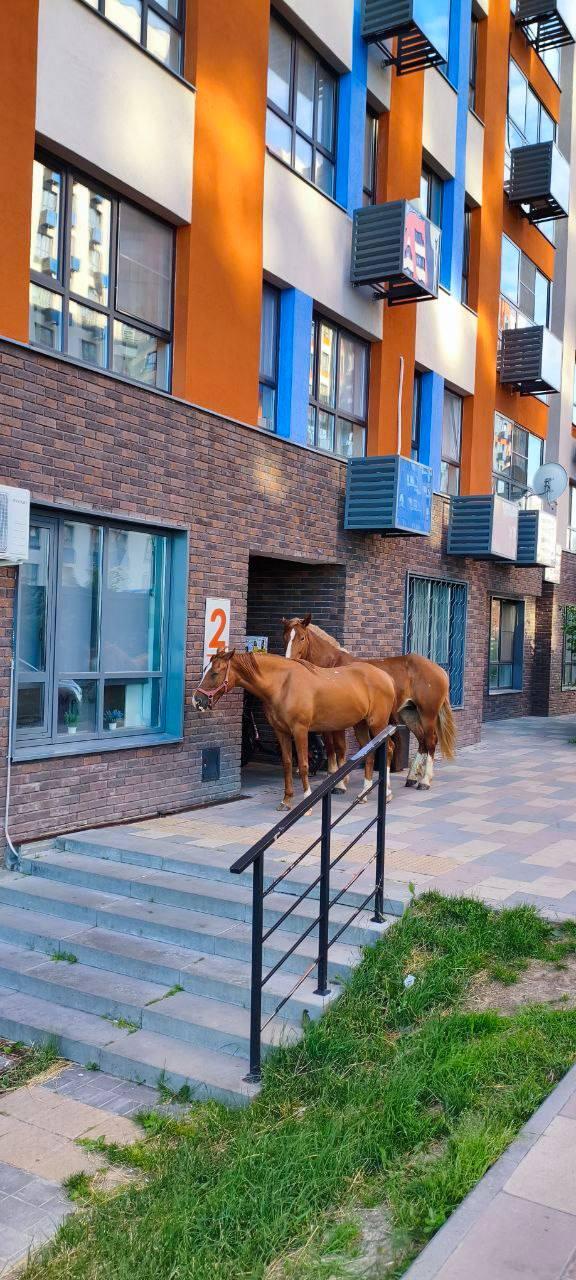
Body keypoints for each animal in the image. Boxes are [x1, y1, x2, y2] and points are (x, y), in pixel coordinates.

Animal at [192, 650, 396, 811]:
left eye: (214, 673)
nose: (197, 700)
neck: (283, 684)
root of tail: (386, 677)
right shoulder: (281, 732)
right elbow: (288, 763)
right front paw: (286, 800)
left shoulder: (300, 731)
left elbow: (304, 764)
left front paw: (306, 801)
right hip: (361, 725)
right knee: (369, 754)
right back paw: (363, 794)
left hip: (377, 724)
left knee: (389, 750)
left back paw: (386, 793)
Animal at [282, 615, 456, 790]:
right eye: (285, 637)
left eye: (302, 637)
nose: (289, 662)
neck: (331, 668)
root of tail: (439, 669)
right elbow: (331, 748)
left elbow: (340, 748)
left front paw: (340, 784)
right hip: (409, 713)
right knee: (422, 741)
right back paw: (411, 778)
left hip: (427, 714)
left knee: (431, 741)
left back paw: (424, 781)